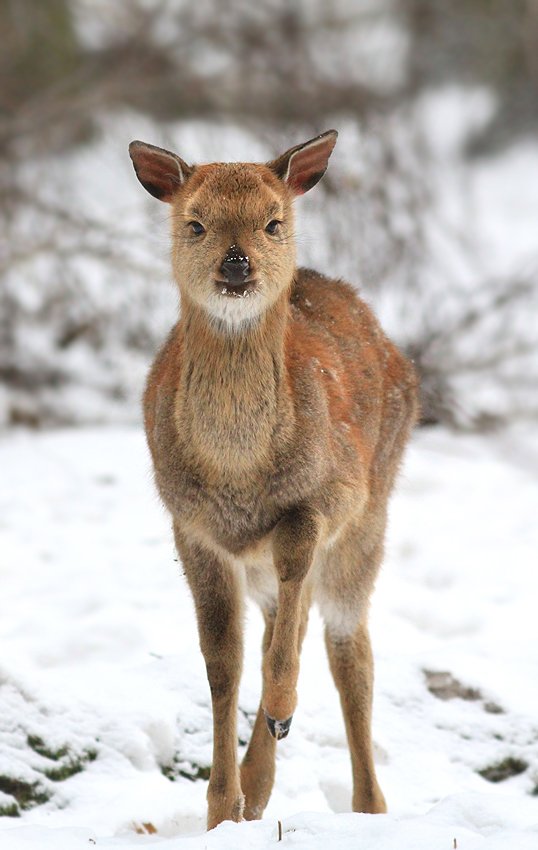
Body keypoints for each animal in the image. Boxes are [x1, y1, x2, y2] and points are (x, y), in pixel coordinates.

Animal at [127, 131, 416, 828]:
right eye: (195, 222)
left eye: (273, 222)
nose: (236, 264)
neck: (239, 476)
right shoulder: (190, 526)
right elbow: (222, 661)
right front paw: (220, 808)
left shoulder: (332, 496)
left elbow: (289, 619)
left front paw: (280, 715)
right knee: (283, 631)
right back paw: (258, 792)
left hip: (373, 514)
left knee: (347, 649)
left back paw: (367, 805)